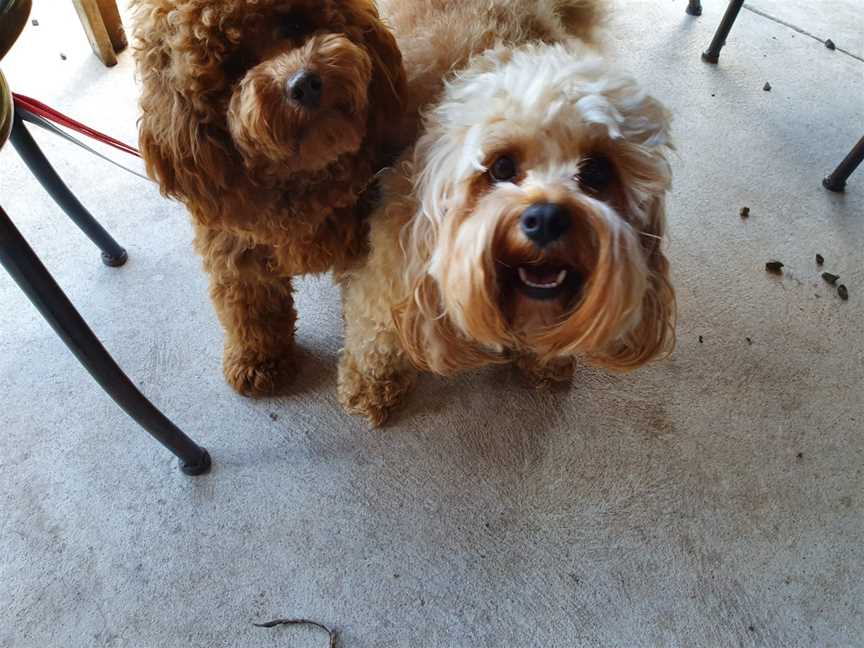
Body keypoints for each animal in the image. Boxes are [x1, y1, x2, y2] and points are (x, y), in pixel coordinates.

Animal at [132, 0, 408, 398]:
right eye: (233, 64)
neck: (301, 182)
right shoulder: (233, 251)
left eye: (293, 23)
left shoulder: (363, 240)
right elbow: (251, 309)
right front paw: (259, 361)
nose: (304, 84)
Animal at [338, 0, 676, 426]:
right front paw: (370, 383)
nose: (546, 219)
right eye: (501, 167)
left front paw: (546, 359)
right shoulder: (390, 267)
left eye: (598, 172)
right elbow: (375, 334)